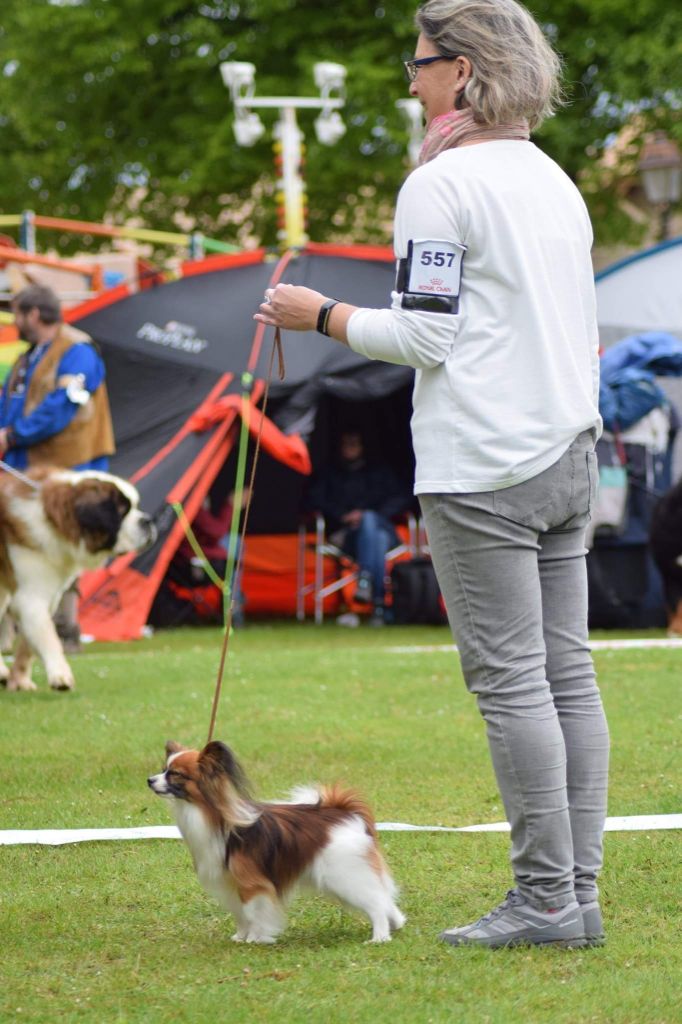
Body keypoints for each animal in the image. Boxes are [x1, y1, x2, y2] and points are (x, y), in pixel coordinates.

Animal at [0, 468, 154, 692]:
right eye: (121, 510)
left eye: (135, 506)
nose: (148, 521)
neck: (53, 520)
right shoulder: (30, 597)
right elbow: (48, 636)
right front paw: (61, 676)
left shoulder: (48, 597)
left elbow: (28, 645)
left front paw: (20, 680)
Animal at [147, 737, 403, 942]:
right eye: (163, 769)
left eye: (175, 774)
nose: (150, 780)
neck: (216, 818)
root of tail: (344, 813)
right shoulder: (232, 883)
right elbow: (240, 914)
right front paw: (240, 937)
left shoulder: (252, 883)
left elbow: (252, 913)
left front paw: (255, 938)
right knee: (384, 897)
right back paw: (396, 923)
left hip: (344, 875)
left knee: (376, 902)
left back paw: (380, 937)